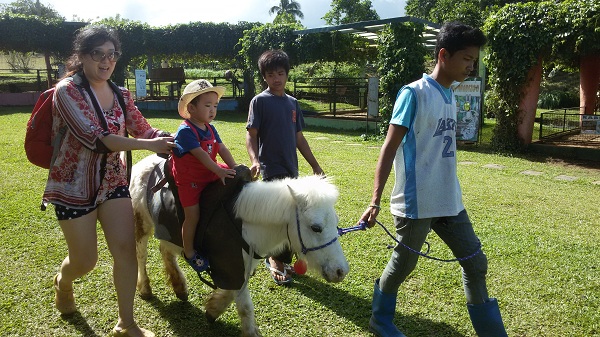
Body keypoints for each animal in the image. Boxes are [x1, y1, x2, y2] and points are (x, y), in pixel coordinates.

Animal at [129, 155, 350, 336]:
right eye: (316, 227)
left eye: (335, 223)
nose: (341, 271)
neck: (245, 223)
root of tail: (142, 164)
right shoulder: (230, 266)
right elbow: (245, 307)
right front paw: (249, 330)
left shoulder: (239, 266)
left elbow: (230, 294)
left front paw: (212, 310)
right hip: (141, 224)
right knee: (140, 254)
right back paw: (145, 288)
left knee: (166, 250)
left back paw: (179, 287)